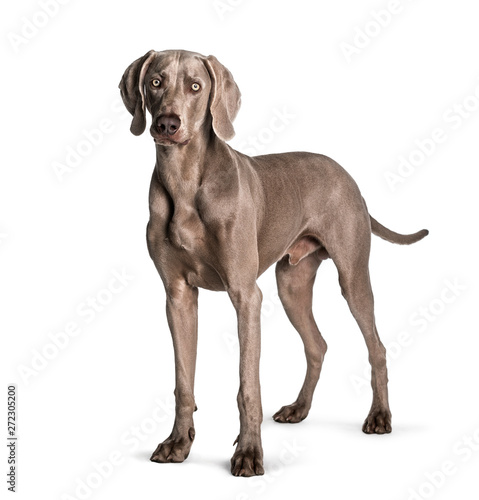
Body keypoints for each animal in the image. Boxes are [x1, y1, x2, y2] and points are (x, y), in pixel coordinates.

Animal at [118, 49, 430, 476]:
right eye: (155, 82)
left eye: (196, 86)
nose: (168, 123)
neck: (184, 181)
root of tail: (346, 174)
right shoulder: (178, 296)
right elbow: (184, 381)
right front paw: (179, 443)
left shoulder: (245, 295)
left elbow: (247, 385)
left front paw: (249, 453)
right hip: (291, 285)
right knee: (317, 345)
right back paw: (299, 408)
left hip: (352, 276)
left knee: (377, 348)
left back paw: (380, 417)